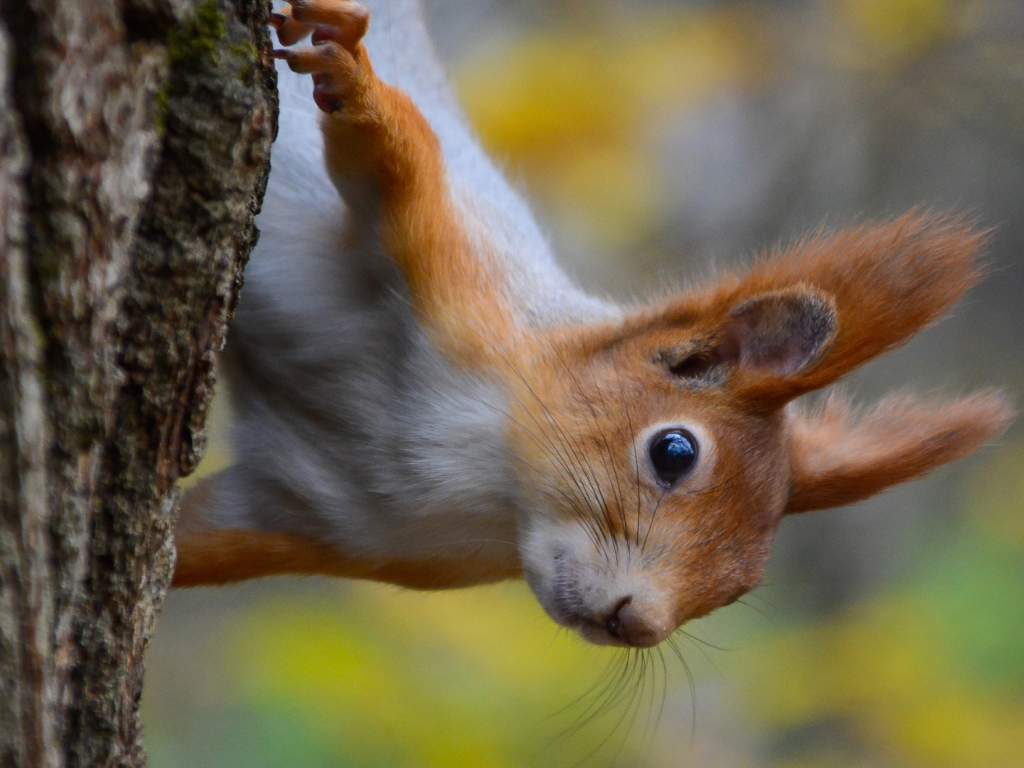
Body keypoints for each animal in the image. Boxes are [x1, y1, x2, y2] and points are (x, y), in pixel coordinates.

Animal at [172, 0, 1011, 651]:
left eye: (741, 587)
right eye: (674, 452)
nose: (634, 623)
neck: (485, 474)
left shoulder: (315, 517)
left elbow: (189, 543)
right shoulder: (457, 273)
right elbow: (395, 159)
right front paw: (352, 75)